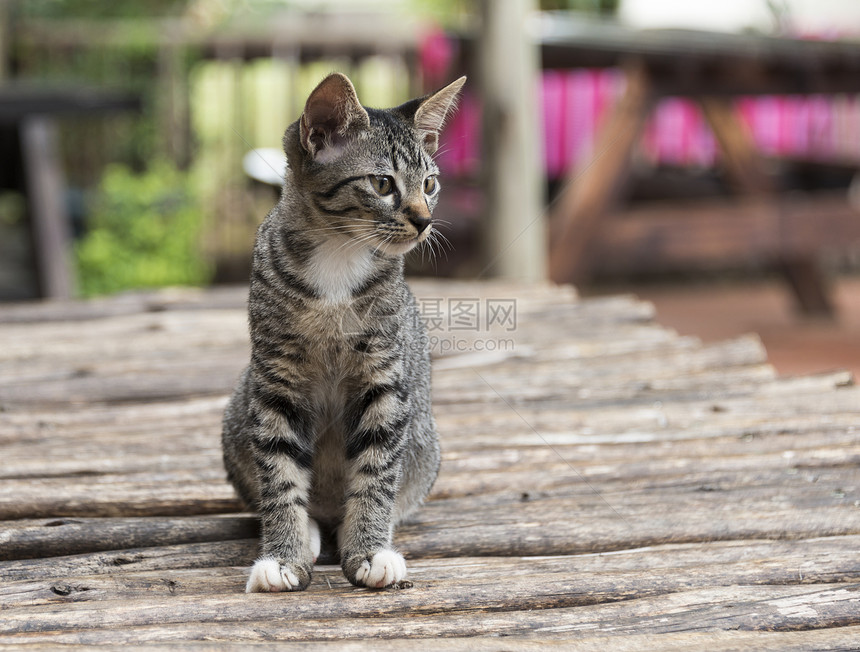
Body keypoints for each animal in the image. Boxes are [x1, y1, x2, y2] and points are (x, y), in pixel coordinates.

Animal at [222, 71, 464, 592]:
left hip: (425, 443)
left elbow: (376, 470)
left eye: (430, 183)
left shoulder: (385, 378)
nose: (424, 220)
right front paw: (284, 555)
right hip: (237, 418)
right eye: (382, 183)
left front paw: (369, 550)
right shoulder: (276, 379)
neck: (338, 256)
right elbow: (279, 472)